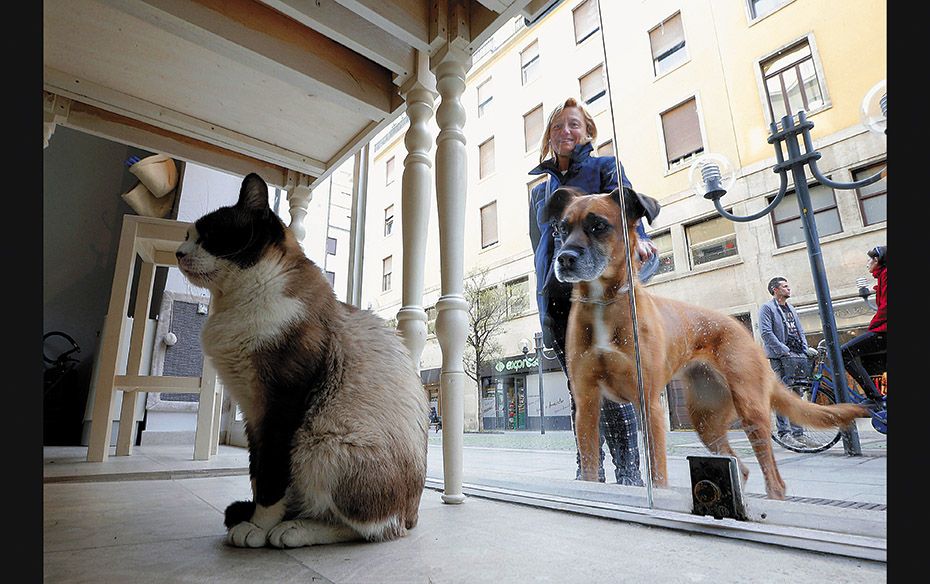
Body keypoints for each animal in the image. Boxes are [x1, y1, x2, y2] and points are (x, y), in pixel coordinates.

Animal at [174, 173, 428, 548]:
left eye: (210, 236)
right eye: (188, 236)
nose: (178, 253)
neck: (232, 303)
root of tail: (413, 515)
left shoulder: (280, 407)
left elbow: (270, 476)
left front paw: (258, 528)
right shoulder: (252, 411)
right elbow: (256, 472)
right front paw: (255, 520)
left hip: (320, 445)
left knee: (372, 529)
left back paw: (294, 529)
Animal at [544, 186, 864, 498]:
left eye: (598, 225)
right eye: (561, 229)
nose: (564, 258)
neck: (603, 300)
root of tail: (740, 328)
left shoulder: (649, 405)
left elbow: (657, 474)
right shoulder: (586, 405)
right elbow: (589, 468)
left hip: (750, 410)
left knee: (773, 478)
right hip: (705, 419)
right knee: (739, 467)